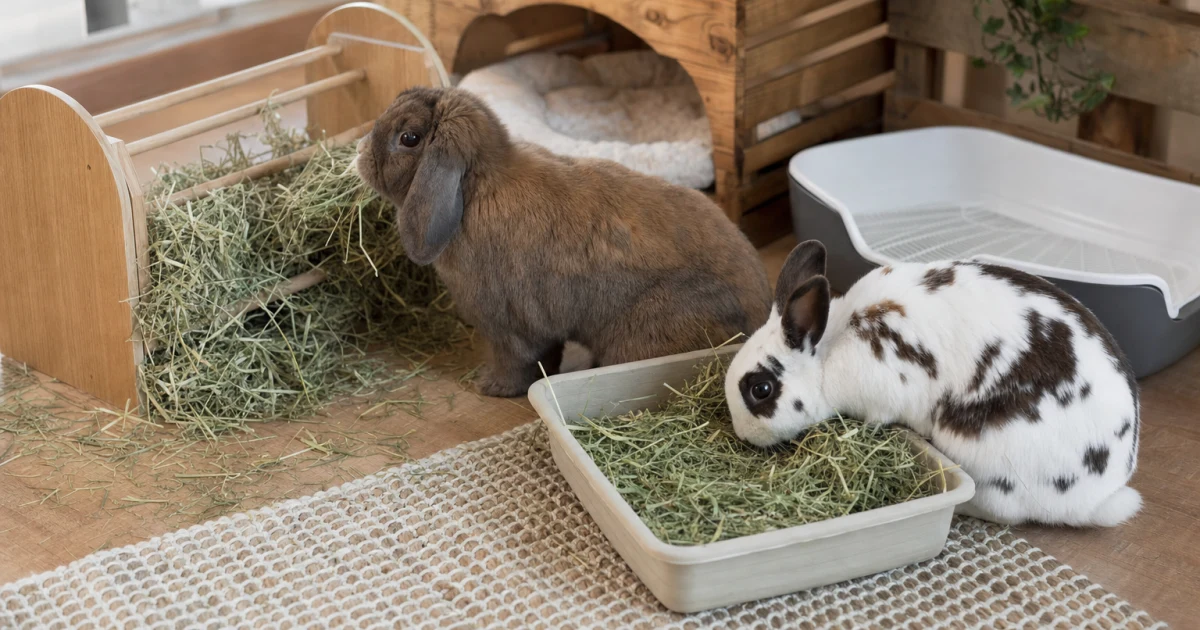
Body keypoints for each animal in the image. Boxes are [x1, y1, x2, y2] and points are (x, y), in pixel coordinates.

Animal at [354, 86, 772, 397]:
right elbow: (546, 357)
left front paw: (491, 388)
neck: (476, 185)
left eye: (409, 138)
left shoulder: (507, 327)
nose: (358, 151)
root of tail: (761, 317)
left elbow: (517, 361)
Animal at [724, 240, 1142, 528]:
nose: (742, 436)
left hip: (985, 457)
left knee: (1004, 511)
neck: (829, 348)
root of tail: (1099, 496)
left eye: (760, 389)